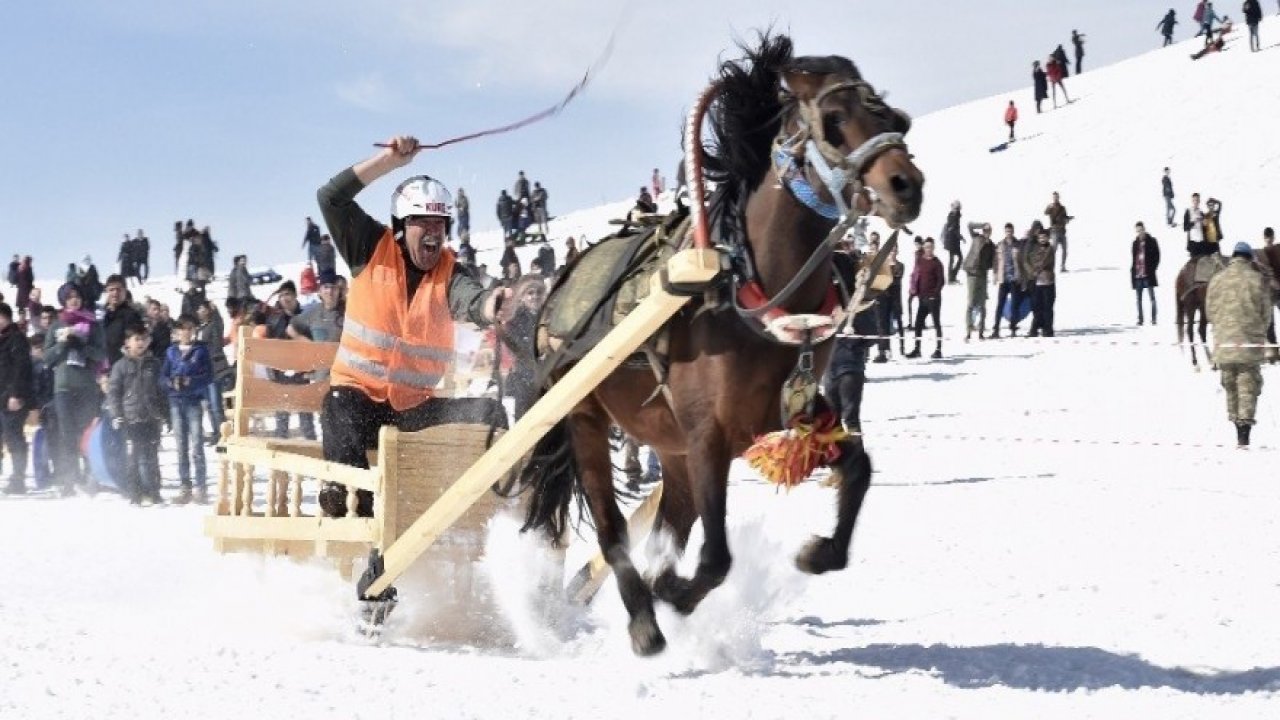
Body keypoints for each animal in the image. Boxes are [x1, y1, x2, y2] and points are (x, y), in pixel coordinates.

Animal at [514, 33, 926, 653]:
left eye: (892, 115)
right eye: (833, 120)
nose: (907, 186)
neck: (744, 292)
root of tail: (563, 280)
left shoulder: (794, 411)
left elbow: (859, 469)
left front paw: (818, 552)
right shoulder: (707, 434)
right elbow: (715, 558)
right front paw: (671, 593)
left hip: (668, 446)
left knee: (667, 524)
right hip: (583, 416)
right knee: (613, 530)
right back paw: (644, 619)